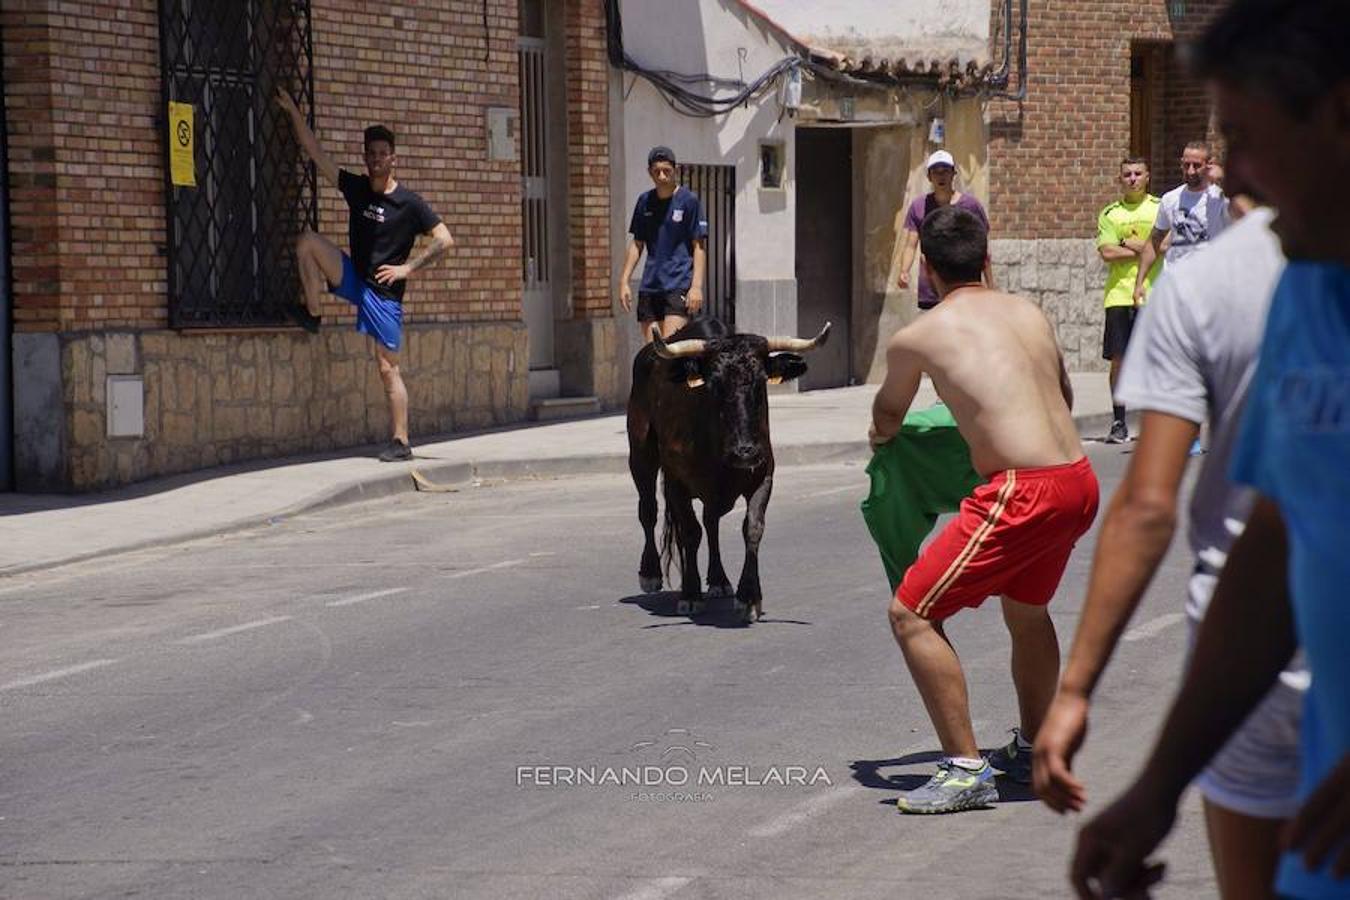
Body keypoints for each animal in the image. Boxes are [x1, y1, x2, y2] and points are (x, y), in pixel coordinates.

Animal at [623, 317, 831, 620]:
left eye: (761, 382)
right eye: (714, 384)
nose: (745, 451)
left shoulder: (763, 476)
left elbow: (752, 528)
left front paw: (749, 596)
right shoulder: (677, 481)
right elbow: (690, 532)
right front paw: (690, 594)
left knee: (710, 522)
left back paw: (719, 580)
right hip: (641, 454)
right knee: (649, 509)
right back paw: (651, 573)